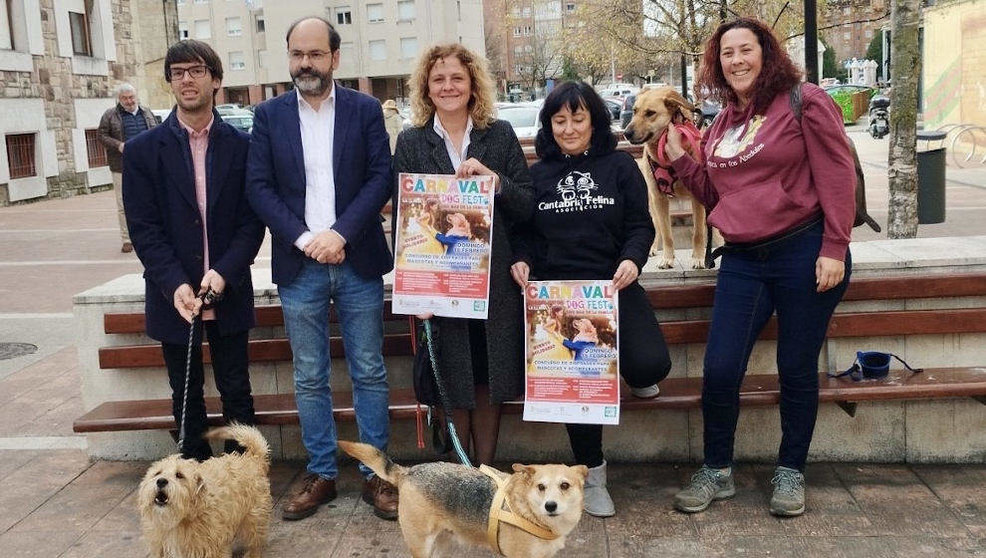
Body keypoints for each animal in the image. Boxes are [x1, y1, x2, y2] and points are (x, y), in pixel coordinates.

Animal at [136, 424, 270, 558]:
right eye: (157, 473)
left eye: (179, 475)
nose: (161, 481)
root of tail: (253, 458)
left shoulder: (213, 547)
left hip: (254, 517)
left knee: (256, 541)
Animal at [338, 442, 584, 558]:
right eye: (541, 487)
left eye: (565, 485)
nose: (550, 506)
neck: (531, 514)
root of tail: (407, 471)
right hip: (421, 544)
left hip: (442, 542)